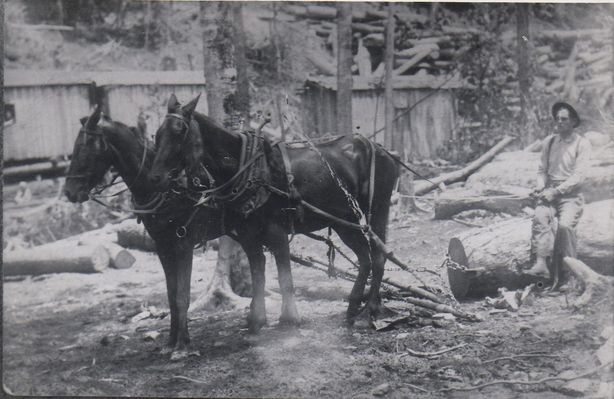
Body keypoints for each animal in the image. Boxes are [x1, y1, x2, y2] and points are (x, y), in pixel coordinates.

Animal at [63, 106, 226, 360]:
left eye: (86, 146)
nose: (69, 192)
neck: (167, 188)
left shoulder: (183, 245)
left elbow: (182, 296)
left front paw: (183, 347)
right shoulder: (162, 246)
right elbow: (171, 295)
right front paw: (171, 342)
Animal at [149, 94, 400, 334]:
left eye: (179, 132)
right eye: (157, 135)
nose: (156, 177)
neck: (249, 169)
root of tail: (379, 149)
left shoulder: (276, 231)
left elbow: (284, 278)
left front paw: (289, 319)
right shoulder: (248, 234)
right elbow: (258, 274)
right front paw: (256, 321)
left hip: (376, 210)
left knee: (378, 257)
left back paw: (370, 310)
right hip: (345, 221)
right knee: (365, 259)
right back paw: (355, 307)